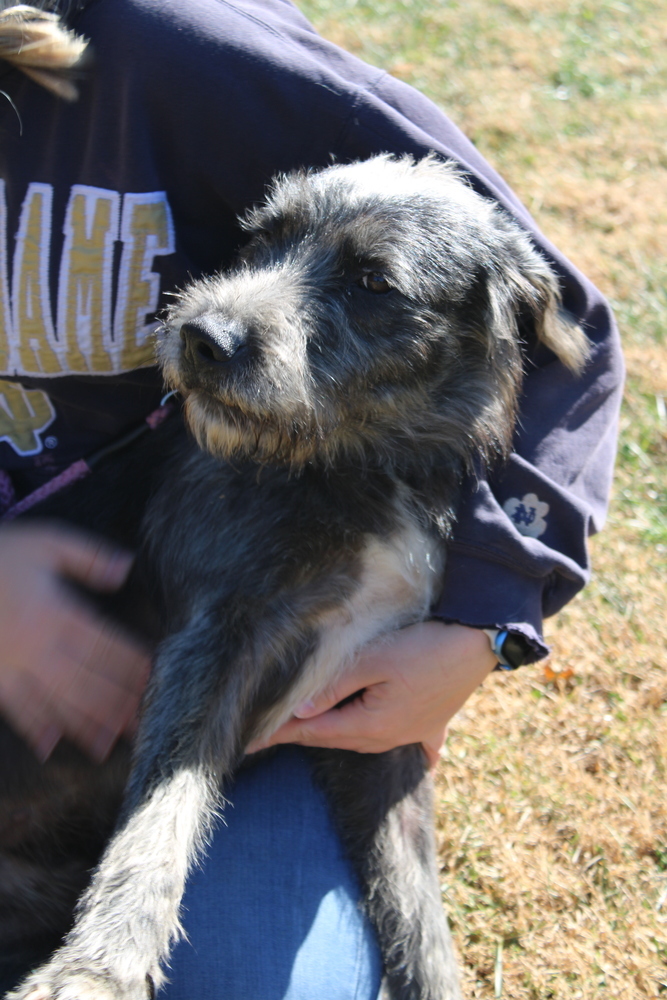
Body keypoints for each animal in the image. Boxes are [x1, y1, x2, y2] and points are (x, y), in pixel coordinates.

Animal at [6, 154, 588, 1000]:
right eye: (263, 238)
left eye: (372, 281)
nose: (202, 337)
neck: (357, 467)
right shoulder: (214, 640)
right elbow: (163, 810)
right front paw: (97, 967)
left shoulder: (384, 718)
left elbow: (418, 912)